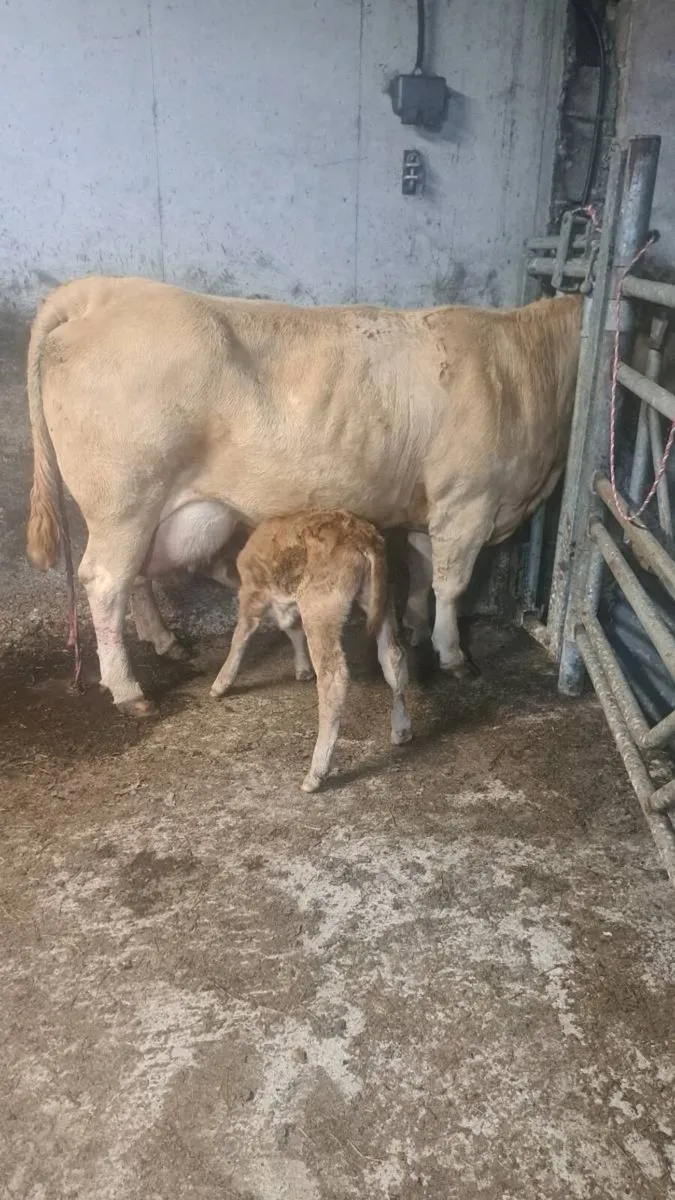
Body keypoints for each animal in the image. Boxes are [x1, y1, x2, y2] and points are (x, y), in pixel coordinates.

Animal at [26, 276, 582, 716]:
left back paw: (164, 642)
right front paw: (453, 655)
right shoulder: (468, 501)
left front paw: (418, 629)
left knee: (137, 575)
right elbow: (451, 585)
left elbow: (423, 570)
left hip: (153, 512)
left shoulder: (430, 506)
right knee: (106, 581)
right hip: (124, 500)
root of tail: (107, 289)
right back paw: (128, 690)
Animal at [210, 509, 412, 792]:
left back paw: (316, 772)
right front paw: (302, 669)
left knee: (333, 678)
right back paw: (401, 729)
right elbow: (293, 630)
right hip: (381, 600)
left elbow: (240, 635)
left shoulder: (252, 592)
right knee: (393, 658)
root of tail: (361, 534)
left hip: (320, 607)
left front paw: (221, 683)